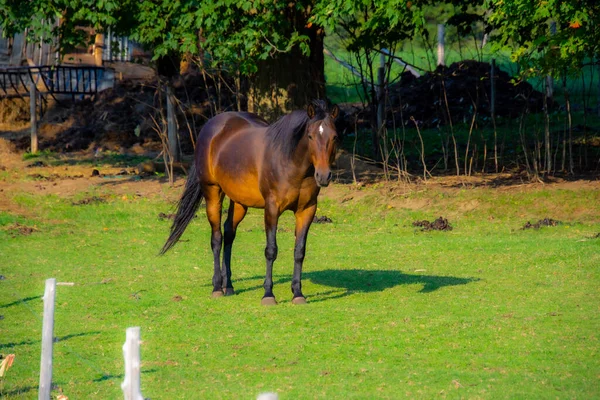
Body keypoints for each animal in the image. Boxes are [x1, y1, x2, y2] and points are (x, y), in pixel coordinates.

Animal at [161, 100, 338, 304]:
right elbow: (271, 250)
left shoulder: (307, 210)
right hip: (212, 192)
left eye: (334, 137)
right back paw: (217, 287)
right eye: (310, 136)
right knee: (217, 238)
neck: (290, 161)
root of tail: (211, 126)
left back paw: (228, 286)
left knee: (229, 233)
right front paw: (268, 294)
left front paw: (298, 294)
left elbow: (299, 251)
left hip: (239, 202)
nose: (323, 176)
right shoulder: (272, 208)